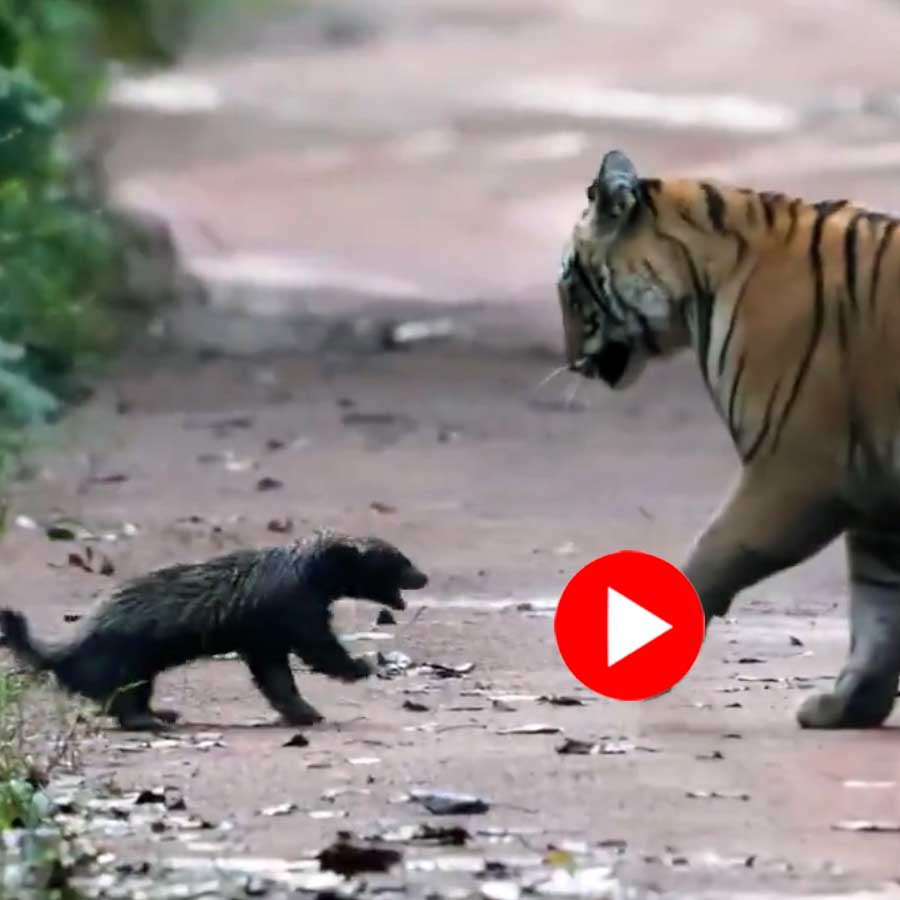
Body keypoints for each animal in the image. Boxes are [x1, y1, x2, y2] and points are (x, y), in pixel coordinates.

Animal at [557, 148, 900, 730]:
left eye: (568, 286)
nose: (570, 360)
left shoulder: (796, 472)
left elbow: (712, 554)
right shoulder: (876, 500)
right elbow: (878, 609)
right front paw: (848, 707)